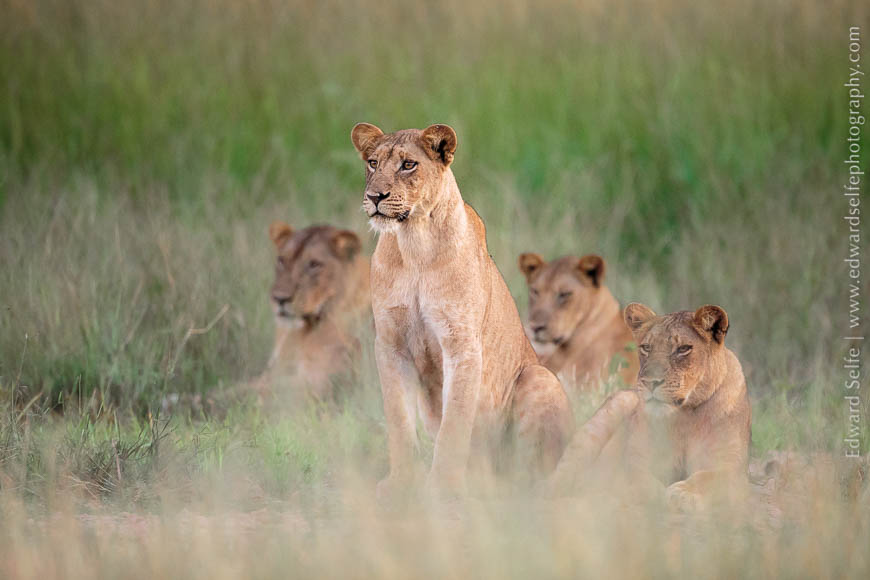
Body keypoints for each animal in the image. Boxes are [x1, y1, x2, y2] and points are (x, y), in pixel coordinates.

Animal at [350, 122, 575, 500]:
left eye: (408, 165)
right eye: (372, 162)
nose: (376, 197)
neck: (414, 246)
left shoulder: (462, 343)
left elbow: (455, 422)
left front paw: (443, 487)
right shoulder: (391, 343)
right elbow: (398, 419)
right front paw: (400, 483)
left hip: (537, 376)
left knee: (528, 474)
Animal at [542, 303, 751, 511]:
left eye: (683, 348)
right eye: (646, 347)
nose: (651, 382)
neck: (686, 415)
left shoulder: (731, 467)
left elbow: (710, 477)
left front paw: (682, 493)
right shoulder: (638, 458)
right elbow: (638, 478)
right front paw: (653, 495)